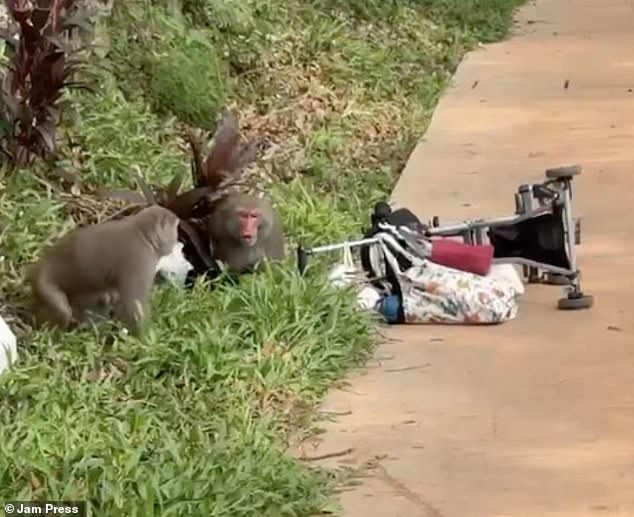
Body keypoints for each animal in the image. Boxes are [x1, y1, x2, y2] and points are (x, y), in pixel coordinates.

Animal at [28, 204, 179, 336]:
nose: (177, 242)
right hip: (44, 285)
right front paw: (146, 340)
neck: (142, 232)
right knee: (62, 309)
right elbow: (134, 306)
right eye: (176, 229)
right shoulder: (140, 259)